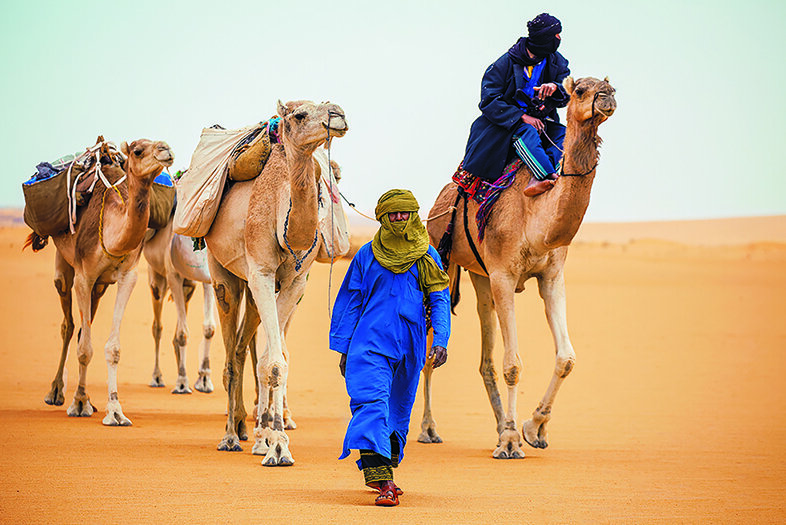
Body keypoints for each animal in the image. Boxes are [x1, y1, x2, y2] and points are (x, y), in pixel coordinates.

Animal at [34, 137, 174, 424]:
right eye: (138, 151)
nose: (166, 149)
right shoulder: (84, 276)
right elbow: (85, 348)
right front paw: (79, 403)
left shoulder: (128, 276)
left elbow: (113, 348)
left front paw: (115, 410)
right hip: (65, 265)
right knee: (68, 324)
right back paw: (56, 392)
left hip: (99, 287)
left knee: (80, 328)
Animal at [143, 217, 214, 392]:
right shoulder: (173, 275)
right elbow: (183, 334)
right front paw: (181, 383)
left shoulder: (208, 278)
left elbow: (209, 328)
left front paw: (204, 380)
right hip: (157, 280)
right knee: (157, 327)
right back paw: (157, 378)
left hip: (188, 287)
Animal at [202, 100, 346, 464]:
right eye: (299, 115)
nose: (338, 114)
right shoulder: (262, 273)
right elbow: (274, 361)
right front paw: (277, 445)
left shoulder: (296, 283)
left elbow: (272, 357)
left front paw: (270, 437)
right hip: (223, 274)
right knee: (231, 354)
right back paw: (230, 435)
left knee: (245, 347)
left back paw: (247, 429)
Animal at [420, 75, 616, 456]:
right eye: (580, 90)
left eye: (608, 86)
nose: (607, 97)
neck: (535, 217)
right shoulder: (504, 274)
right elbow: (513, 364)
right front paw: (511, 441)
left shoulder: (551, 276)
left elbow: (566, 358)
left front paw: (531, 428)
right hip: (444, 261)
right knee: (429, 354)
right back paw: (428, 429)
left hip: (479, 276)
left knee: (484, 353)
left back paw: (499, 425)